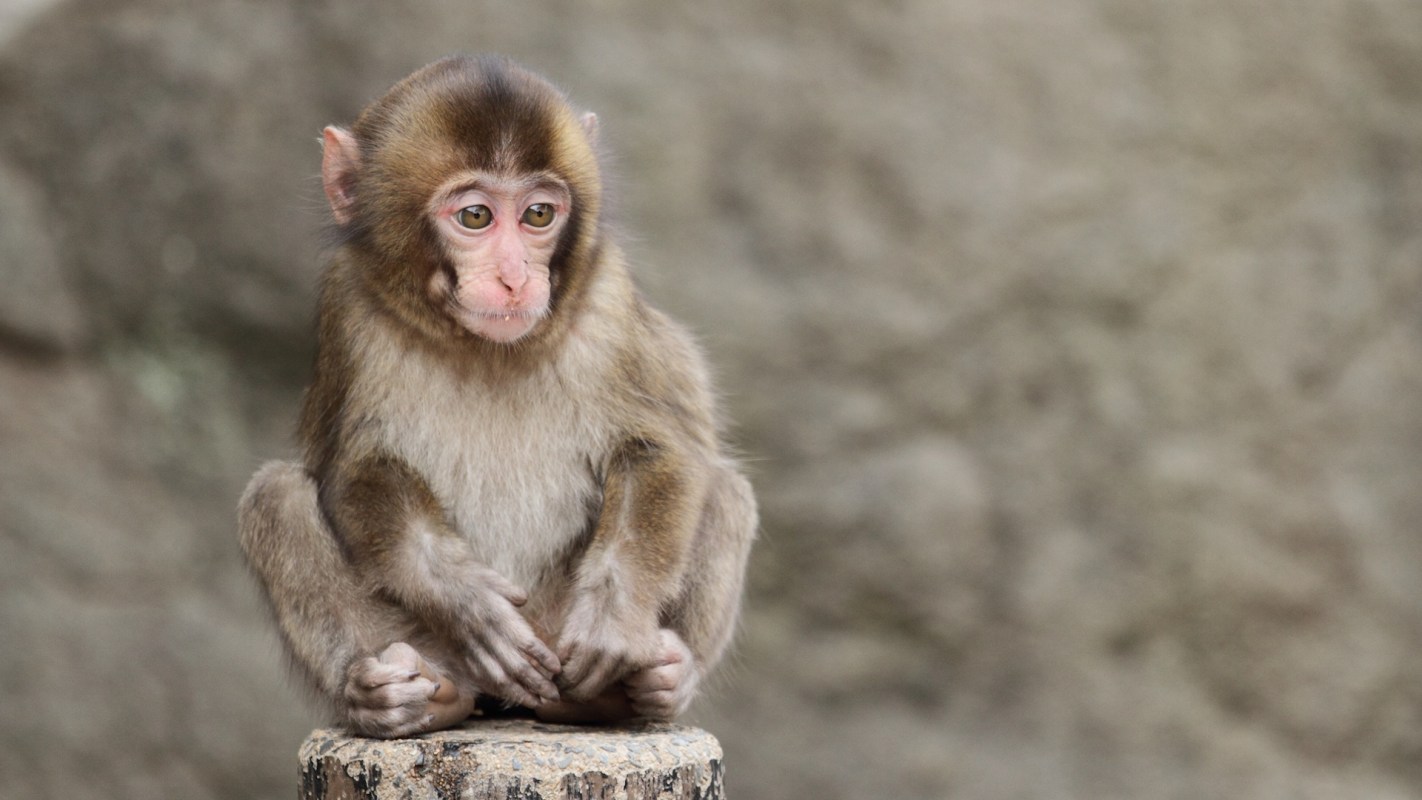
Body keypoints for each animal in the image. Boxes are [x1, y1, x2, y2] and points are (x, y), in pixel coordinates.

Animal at [236, 55, 756, 738]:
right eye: (476, 217)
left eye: (538, 215)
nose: (514, 278)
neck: (484, 346)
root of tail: (505, 705)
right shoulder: (348, 305)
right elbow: (355, 470)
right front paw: (464, 599)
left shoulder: (606, 296)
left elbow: (662, 450)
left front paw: (612, 620)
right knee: (274, 497)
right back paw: (401, 695)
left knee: (725, 487)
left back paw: (634, 692)